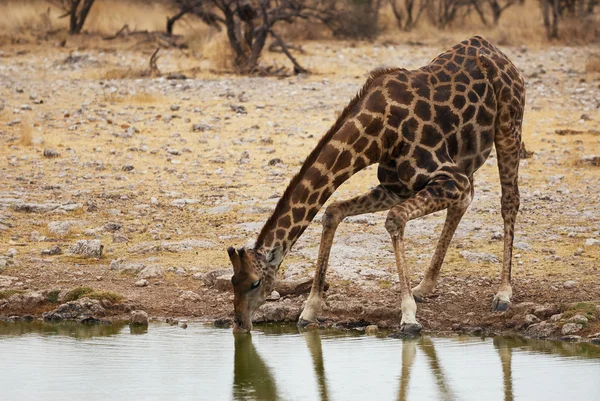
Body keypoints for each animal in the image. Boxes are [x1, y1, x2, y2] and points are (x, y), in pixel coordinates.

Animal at [229, 36, 524, 332]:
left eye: (255, 283)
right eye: (233, 281)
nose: (240, 322)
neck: (379, 136)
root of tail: (493, 50)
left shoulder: (450, 178)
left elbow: (394, 219)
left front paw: (408, 317)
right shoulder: (396, 188)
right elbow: (332, 211)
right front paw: (309, 310)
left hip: (509, 127)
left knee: (509, 200)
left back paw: (503, 294)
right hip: (466, 157)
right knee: (465, 201)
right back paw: (425, 286)